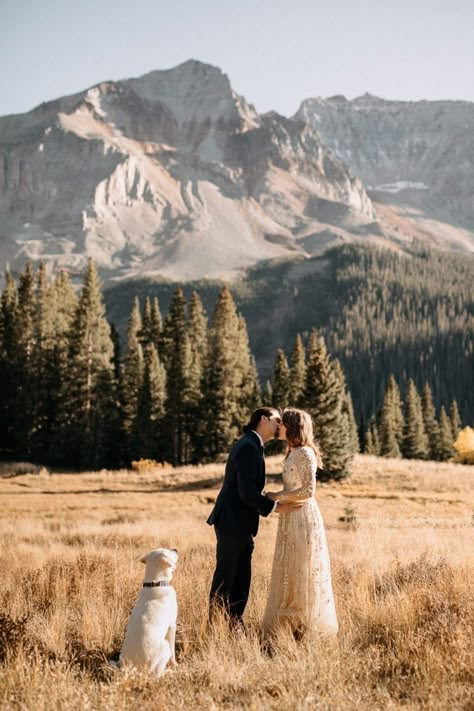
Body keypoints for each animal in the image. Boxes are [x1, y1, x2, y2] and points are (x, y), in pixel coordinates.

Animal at [117, 548, 179, 676]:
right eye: (168, 551)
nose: (175, 549)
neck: (155, 583)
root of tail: (131, 669)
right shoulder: (172, 625)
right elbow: (173, 652)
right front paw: (175, 664)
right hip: (164, 646)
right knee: (156, 674)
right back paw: (168, 672)